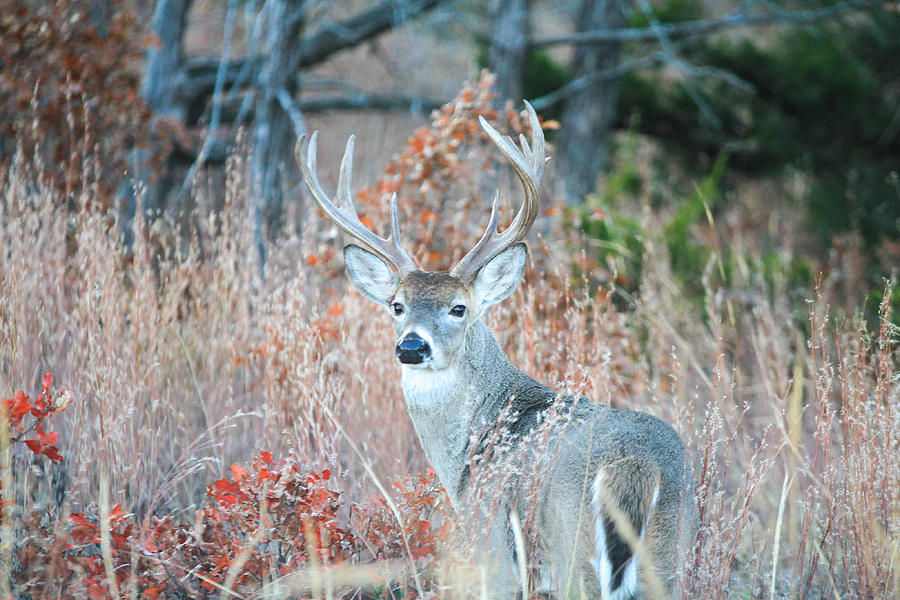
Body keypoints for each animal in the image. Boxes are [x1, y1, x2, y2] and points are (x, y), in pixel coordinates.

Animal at [296, 101, 696, 596]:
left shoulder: (492, 547)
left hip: (569, 542)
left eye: (459, 308)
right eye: (397, 305)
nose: (412, 346)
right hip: (673, 551)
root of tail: (634, 466)